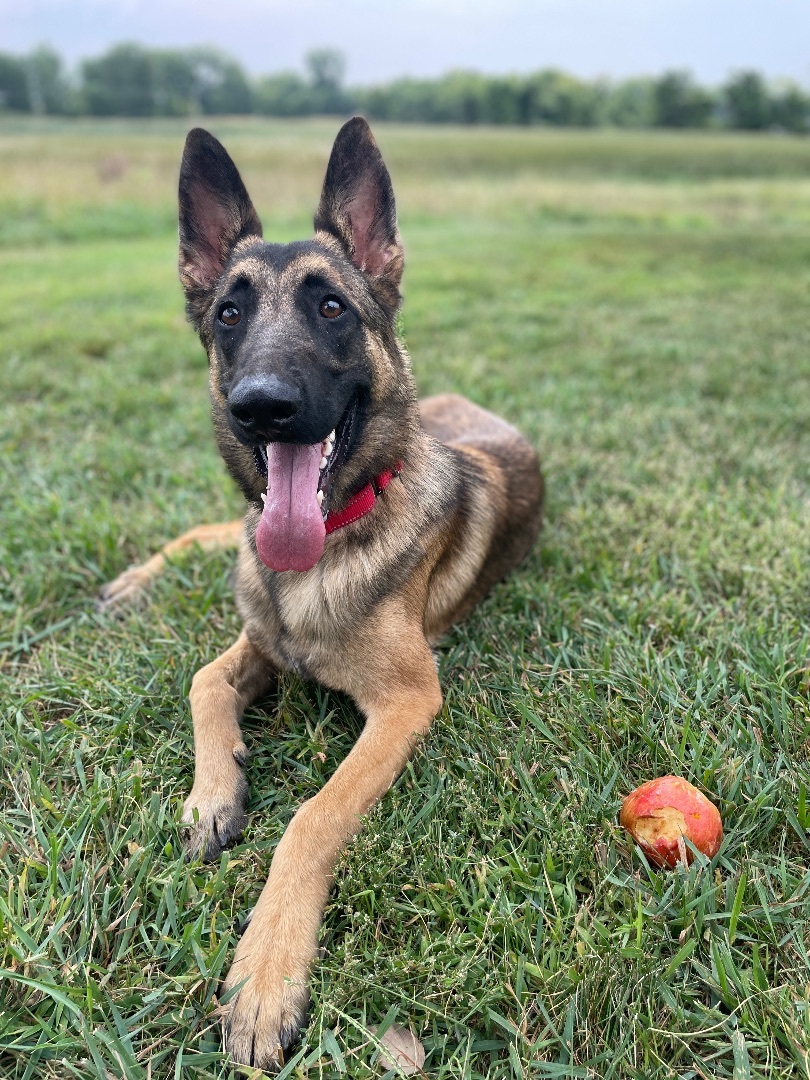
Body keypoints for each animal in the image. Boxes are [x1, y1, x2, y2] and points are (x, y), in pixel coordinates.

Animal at [101, 120, 546, 1071]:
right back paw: (134, 579)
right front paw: (213, 792)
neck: (329, 543)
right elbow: (202, 680)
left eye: (332, 307)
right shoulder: (256, 641)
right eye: (229, 314)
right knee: (213, 531)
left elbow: (311, 816)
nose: (261, 407)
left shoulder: (408, 702)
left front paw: (266, 975)